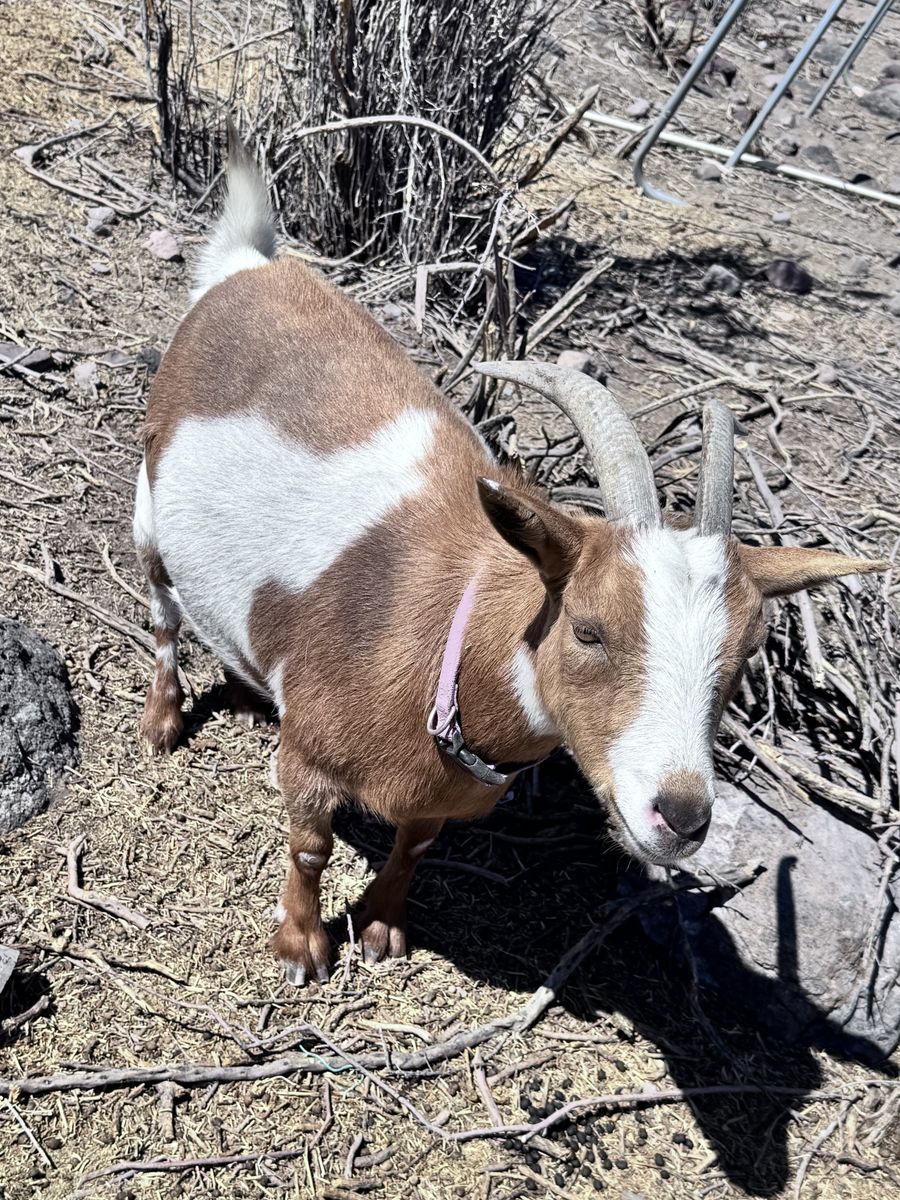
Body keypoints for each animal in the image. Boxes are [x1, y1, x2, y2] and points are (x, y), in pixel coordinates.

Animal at [134, 131, 888, 984]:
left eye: (749, 652)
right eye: (588, 628)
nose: (682, 816)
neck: (442, 649)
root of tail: (249, 262)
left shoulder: (448, 799)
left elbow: (416, 846)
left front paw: (383, 928)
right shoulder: (311, 763)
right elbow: (309, 848)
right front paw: (301, 948)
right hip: (150, 501)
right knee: (162, 612)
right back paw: (163, 720)